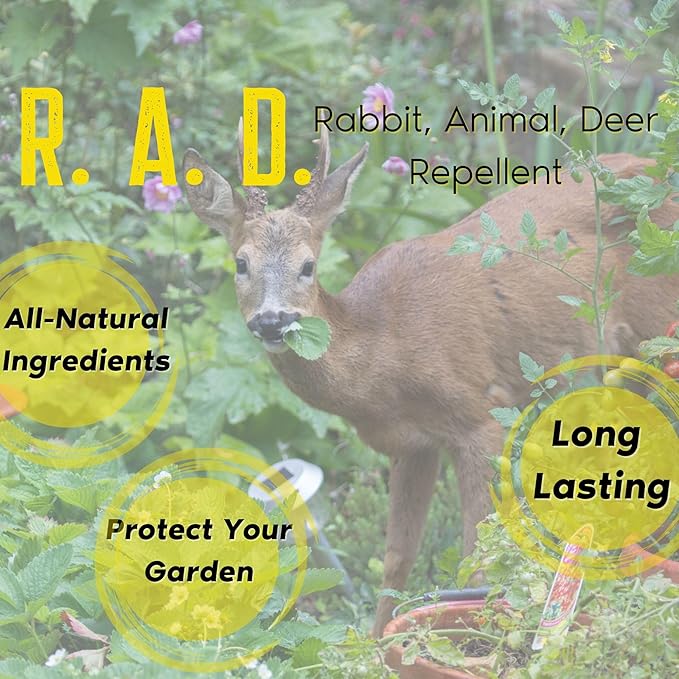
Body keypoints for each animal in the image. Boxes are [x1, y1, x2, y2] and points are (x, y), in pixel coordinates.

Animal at [184, 126, 679, 636]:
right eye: (241, 263)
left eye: (308, 266)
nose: (272, 321)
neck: (385, 353)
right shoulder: (410, 444)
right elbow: (395, 558)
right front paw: (379, 641)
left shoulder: (479, 416)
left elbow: (476, 557)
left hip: (657, 325)